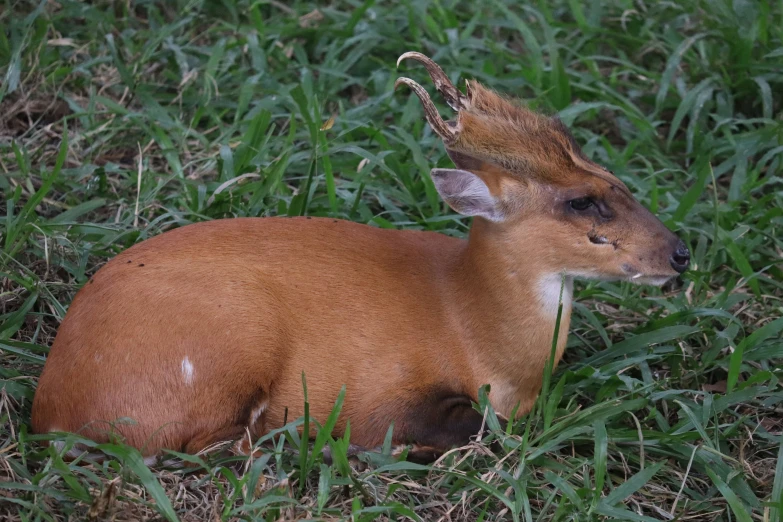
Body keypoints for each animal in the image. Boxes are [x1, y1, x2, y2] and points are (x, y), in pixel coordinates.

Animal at [32, 50, 692, 462]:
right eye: (583, 203)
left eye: (615, 178)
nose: (680, 254)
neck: (475, 328)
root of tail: (50, 412)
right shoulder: (384, 390)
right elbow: (474, 426)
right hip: (226, 347)